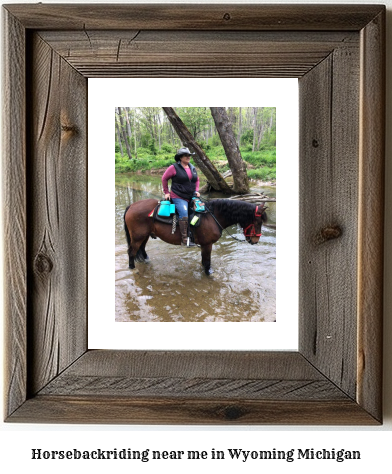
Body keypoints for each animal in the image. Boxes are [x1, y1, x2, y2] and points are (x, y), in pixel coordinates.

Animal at [124, 198, 268, 276]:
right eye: (258, 222)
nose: (255, 240)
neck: (212, 216)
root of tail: (131, 205)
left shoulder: (204, 245)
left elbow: (204, 261)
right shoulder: (207, 244)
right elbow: (207, 261)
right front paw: (209, 274)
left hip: (144, 236)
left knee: (141, 249)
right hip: (137, 237)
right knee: (131, 251)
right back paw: (132, 268)